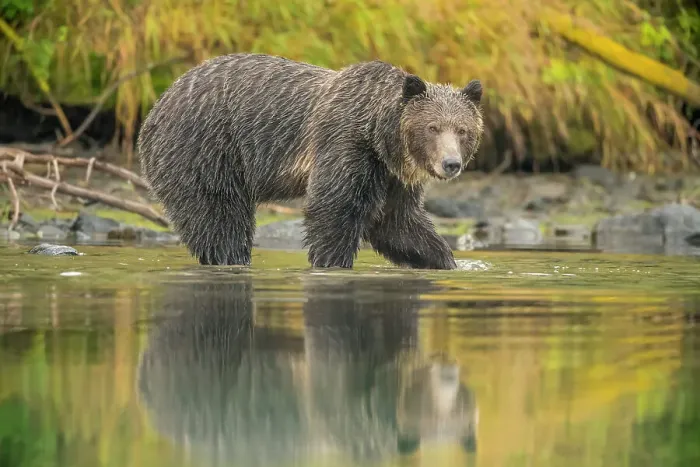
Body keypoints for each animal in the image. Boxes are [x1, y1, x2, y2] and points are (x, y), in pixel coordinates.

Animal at [137, 53, 484, 269]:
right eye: (433, 127)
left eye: (463, 130)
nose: (451, 163)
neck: (381, 138)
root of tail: (155, 109)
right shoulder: (345, 143)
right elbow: (334, 207)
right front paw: (332, 261)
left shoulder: (391, 175)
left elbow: (397, 222)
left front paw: (446, 260)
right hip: (205, 148)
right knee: (218, 216)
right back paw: (230, 257)